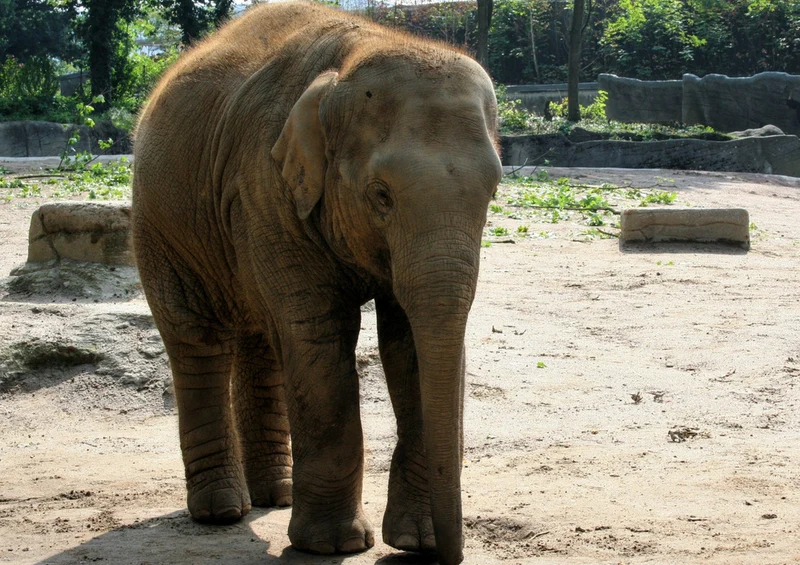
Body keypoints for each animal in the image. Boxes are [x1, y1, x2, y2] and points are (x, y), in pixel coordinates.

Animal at [131, 3, 501, 564]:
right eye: (380, 194)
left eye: (493, 191)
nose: (448, 556)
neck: (355, 55)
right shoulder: (264, 187)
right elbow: (318, 333)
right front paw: (333, 545)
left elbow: (410, 344)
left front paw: (414, 541)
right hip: (159, 225)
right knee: (197, 336)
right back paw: (222, 511)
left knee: (261, 339)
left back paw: (276, 495)